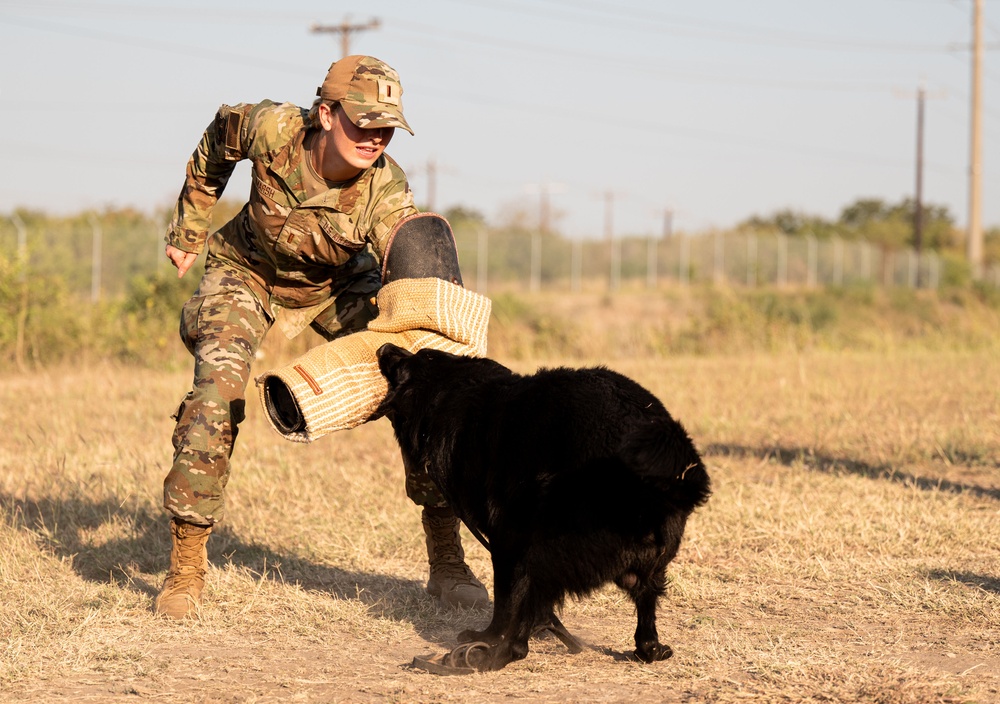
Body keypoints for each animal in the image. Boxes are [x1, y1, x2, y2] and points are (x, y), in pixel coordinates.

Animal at [376, 344, 712, 672]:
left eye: (418, 356)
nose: (384, 346)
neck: (454, 391)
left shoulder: (505, 543)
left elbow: (504, 603)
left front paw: (487, 636)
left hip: (543, 553)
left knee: (519, 639)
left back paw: (487, 658)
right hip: (650, 567)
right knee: (646, 613)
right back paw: (649, 649)